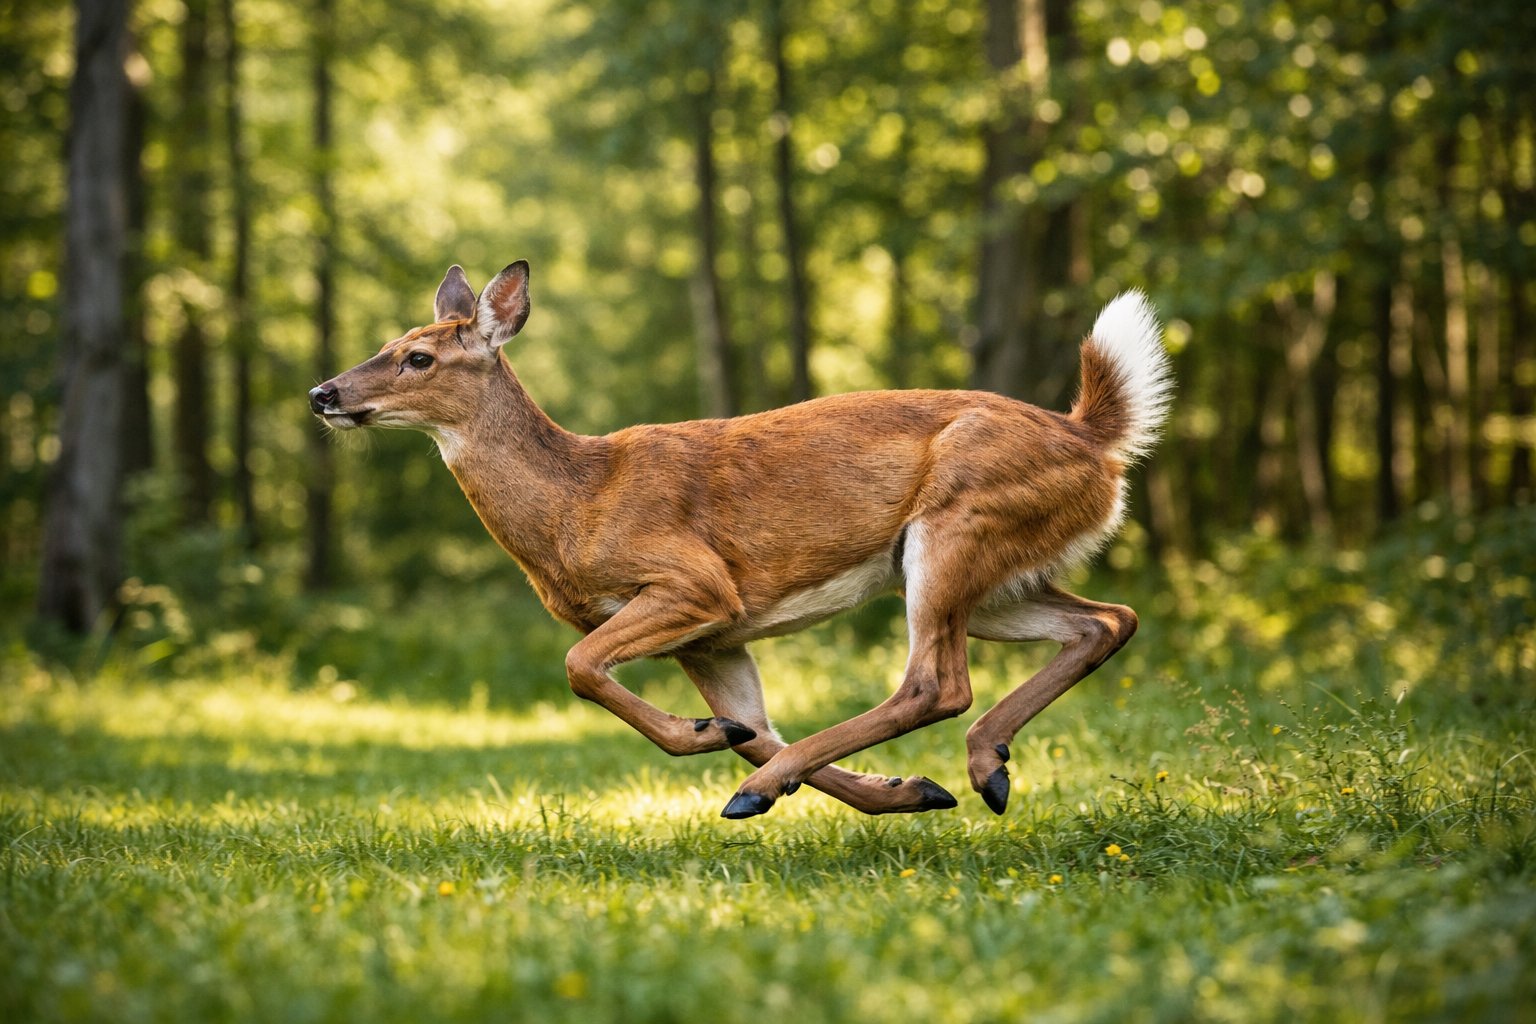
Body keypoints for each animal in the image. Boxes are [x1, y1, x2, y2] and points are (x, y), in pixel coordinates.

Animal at [309, 261, 1172, 820]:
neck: (576, 503)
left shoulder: (694, 584)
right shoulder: (714, 638)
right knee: (1108, 619)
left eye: (417, 356)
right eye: (388, 343)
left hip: (955, 526)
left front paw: (715, 746)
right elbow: (750, 729)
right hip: (992, 578)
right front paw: (897, 794)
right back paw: (980, 769)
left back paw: (787, 787)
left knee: (937, 681)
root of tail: (1091, 437)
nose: (324, 393)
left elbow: (581, 665)